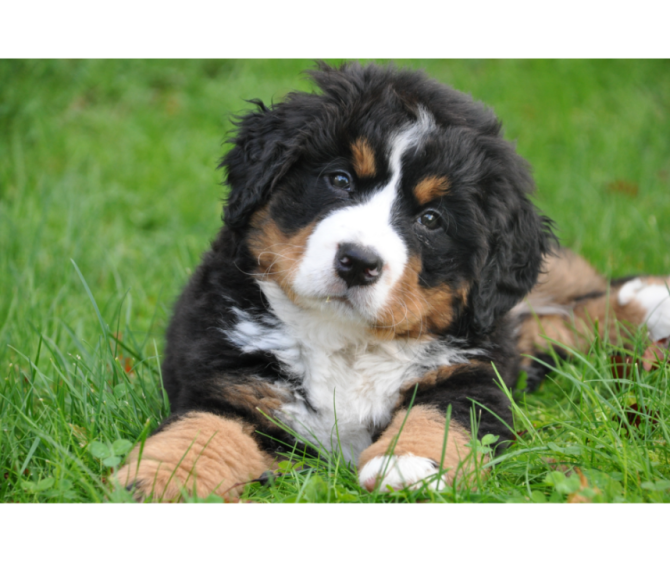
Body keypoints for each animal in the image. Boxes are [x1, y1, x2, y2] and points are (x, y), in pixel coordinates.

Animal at [115, 62, 670, 498]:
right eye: (339, 179)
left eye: (431, 220)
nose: (358, 262)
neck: (346, 342)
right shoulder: (230, 378)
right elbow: (204, 432)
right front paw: (158, 478)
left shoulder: (471, 375)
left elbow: (436, 418)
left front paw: (409, 466)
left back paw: (648, 303)